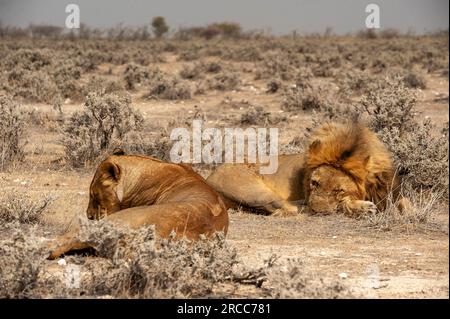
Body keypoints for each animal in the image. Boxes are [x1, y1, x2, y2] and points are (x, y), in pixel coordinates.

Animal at [206, 121, 410, 216]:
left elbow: (406, 203)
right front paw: (363, 207)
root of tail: (208, 178)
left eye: (339, 190)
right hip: (254, 191)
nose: (317, 210)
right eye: (314, 182)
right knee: (285, 208)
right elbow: (342, 204)